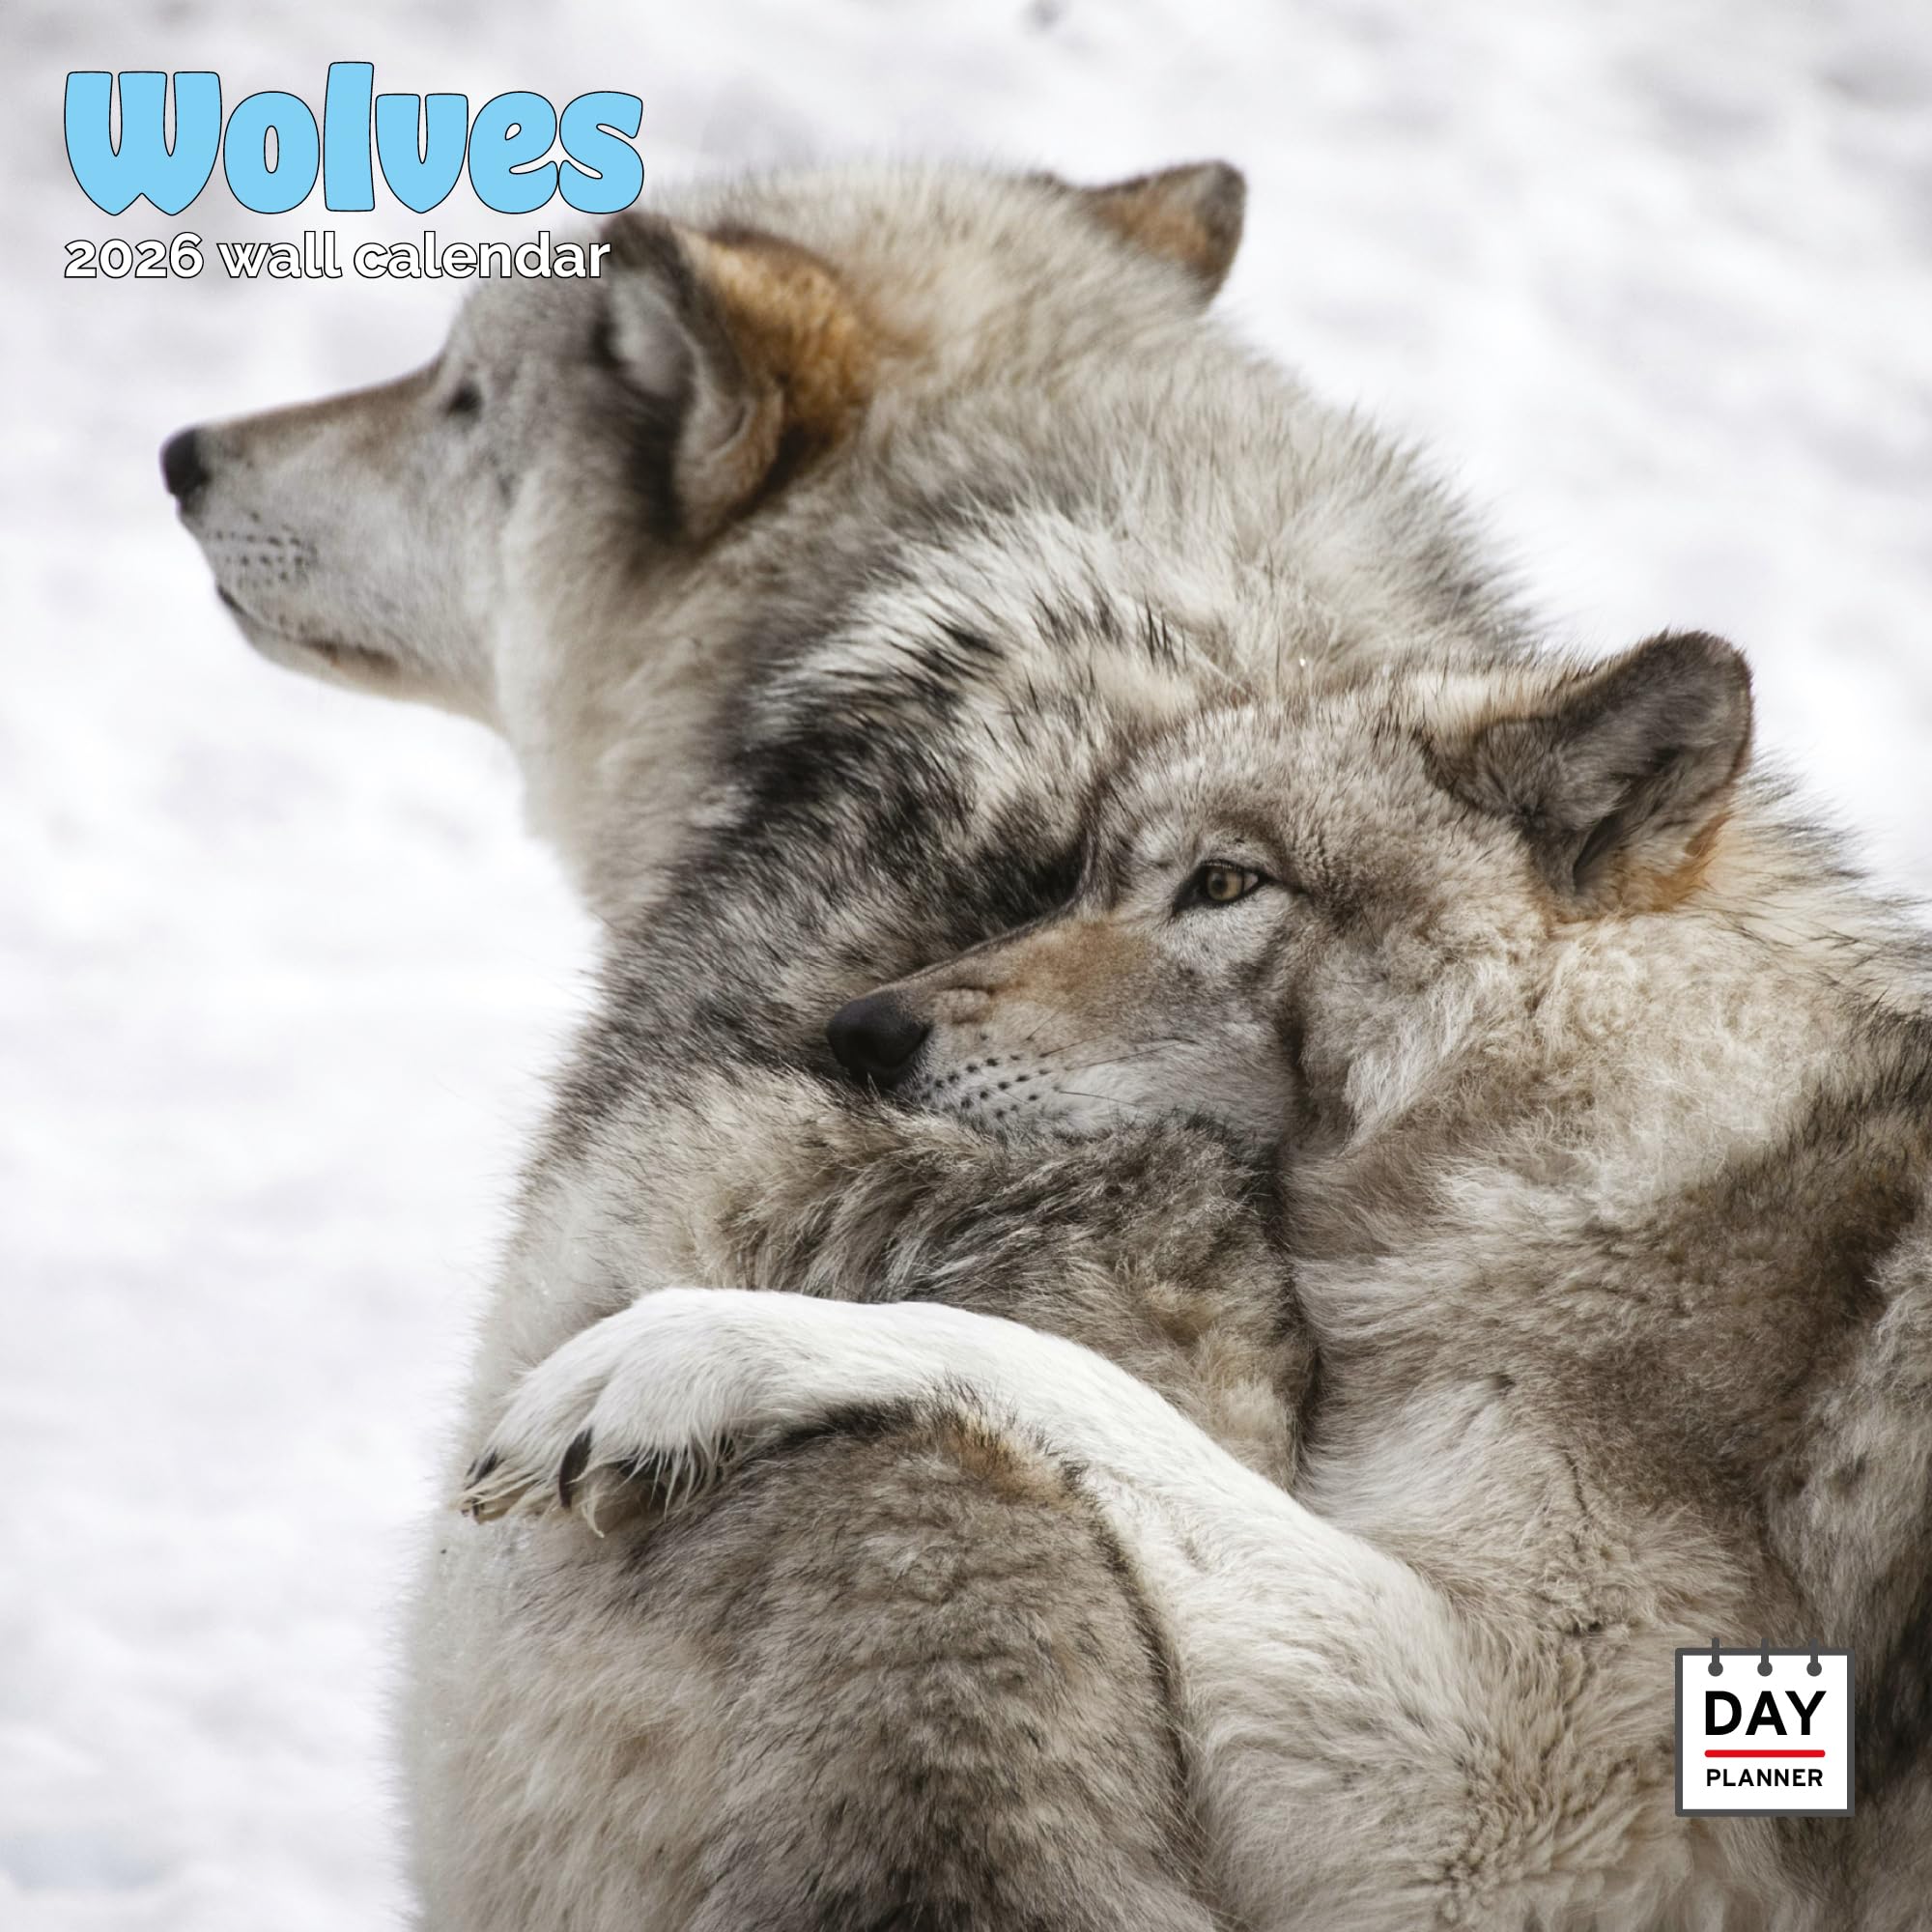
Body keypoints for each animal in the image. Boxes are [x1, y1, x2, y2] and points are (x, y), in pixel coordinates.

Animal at [469, 630, 1932, 1929]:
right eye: (1087, 877)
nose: (864, 1029)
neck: (1612, 1118)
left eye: (1224, 884)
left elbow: (1053, 1369)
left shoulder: (1509, 1808)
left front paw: (673, 1354)